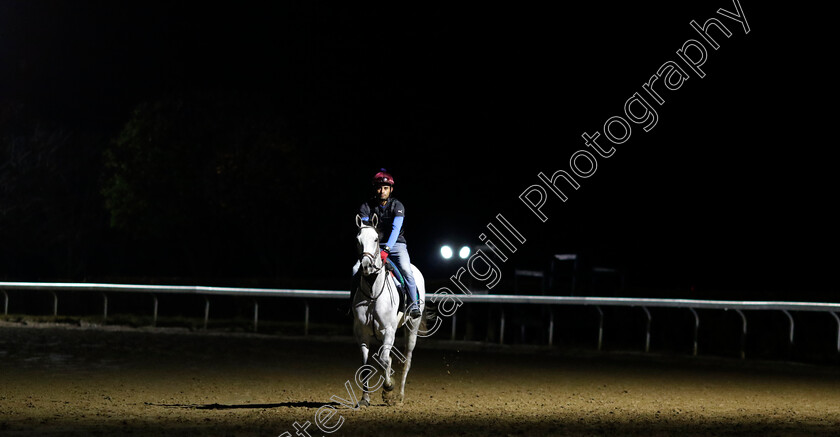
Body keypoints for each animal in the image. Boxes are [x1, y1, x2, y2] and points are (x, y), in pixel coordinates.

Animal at [352, 215, 426, 406]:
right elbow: (366, 366)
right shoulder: (362, 333)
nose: (366, 266)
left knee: (406, 359)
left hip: (412, 327)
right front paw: (365, 399)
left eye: (376, 239)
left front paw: (388, 387)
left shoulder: (389, 330)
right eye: (358, 240)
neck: (373, 292)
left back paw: (399, 395)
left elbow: (384, 360)